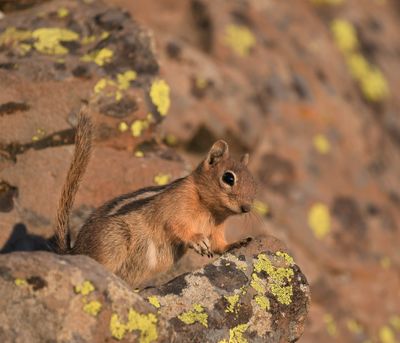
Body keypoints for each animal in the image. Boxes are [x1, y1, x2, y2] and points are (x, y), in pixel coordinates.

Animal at [54, 109, 258, 288]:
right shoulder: (175, 207)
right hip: (113, 242)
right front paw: (197, 239)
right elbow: (176, 226)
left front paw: (239, 242)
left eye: (254, 183)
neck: (209, 209)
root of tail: (74, 251)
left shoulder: (216, 230)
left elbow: (218, 245)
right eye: (228, 178)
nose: (246, 208)